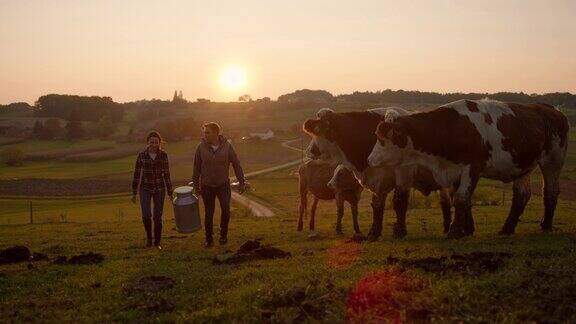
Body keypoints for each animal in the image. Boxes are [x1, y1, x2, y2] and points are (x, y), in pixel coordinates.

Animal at [302, 107, 454, 240]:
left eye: (321, 131)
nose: (310, 150)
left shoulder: (404, 173)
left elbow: (399, 202)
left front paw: (399, 232)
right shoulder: (379, 179)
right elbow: (377, 204)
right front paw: (374, 233)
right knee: (445, 202)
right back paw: (447, 228)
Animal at [368, 98, 568, 238]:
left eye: (382, 139)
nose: (370, 160)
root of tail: (551, 110)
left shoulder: (472, 168)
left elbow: (461, 199)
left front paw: (455, 231)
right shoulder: (453, 171)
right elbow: (460, 200)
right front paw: (465, 229)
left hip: (552, 162)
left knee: (550, 191)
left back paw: (546, 225)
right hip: (522, 166)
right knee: (521, 196)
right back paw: (507, 228)